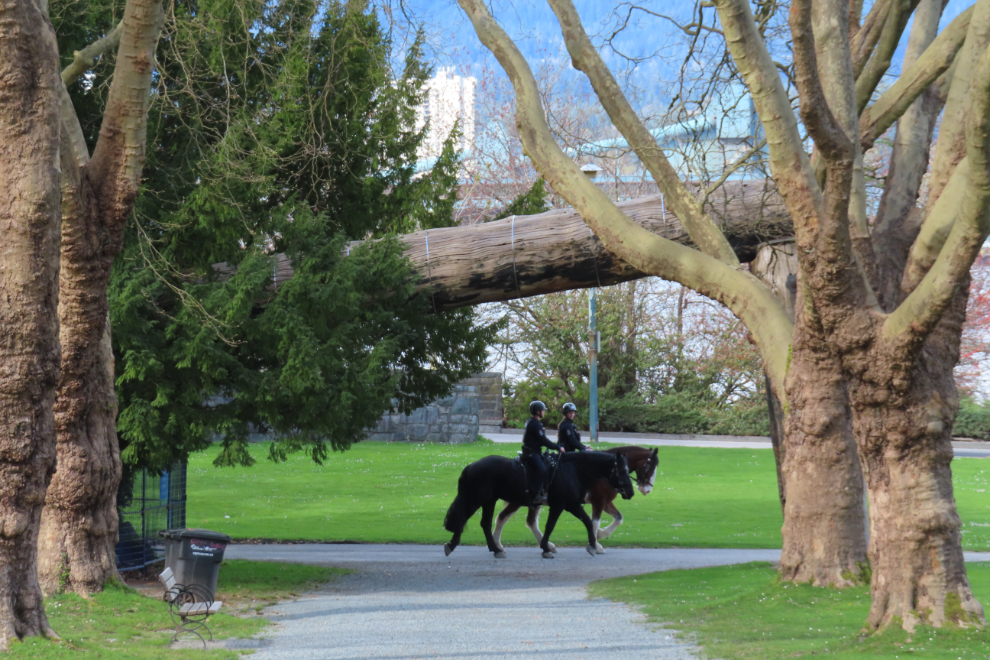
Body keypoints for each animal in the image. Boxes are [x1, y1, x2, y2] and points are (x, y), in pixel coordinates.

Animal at [442, 450, 634, 558]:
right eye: (623, 470)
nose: (631, 492)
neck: (573, 470)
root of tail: (471, 465)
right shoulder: (559, 505)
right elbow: (550, 526)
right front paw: (545, 548)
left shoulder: (573, 505)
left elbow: (587, 522)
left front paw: (593, 545)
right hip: (476, 499)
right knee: (463, 518)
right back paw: (453, 544)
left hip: (489, 501)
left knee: (486, 523)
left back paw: (495, 548)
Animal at [491, 446, 659, 554]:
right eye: (649, 466)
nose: (647, 489)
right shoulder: (598, 502)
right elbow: (595, 522)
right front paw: (596, 542)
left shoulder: (605, 502)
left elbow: (618, 518)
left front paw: (599, 536)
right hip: (518, 501)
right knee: (502, 517)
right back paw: (498, 544)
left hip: (533, 503)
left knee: (530, 522)